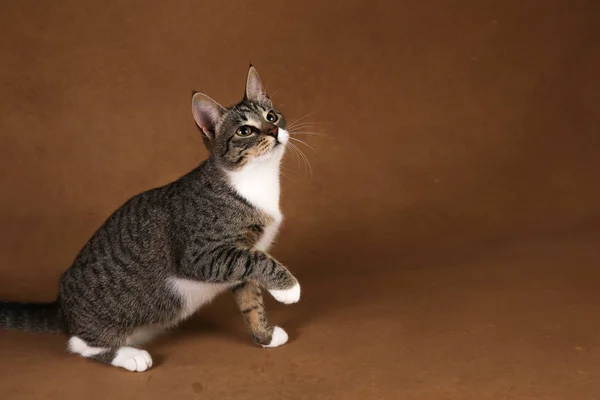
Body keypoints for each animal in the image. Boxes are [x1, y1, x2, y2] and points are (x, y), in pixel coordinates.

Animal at [0, 66, 300, 372]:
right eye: (244, 130)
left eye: (271, 116)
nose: (274, 130)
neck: (254, 181)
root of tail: (62, 305)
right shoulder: (202, 255)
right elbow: (256, 261)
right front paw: (289, 288)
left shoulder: (240, 265)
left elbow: (251, 302)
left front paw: (265, 335)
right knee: (80, 344)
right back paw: (129, 355)